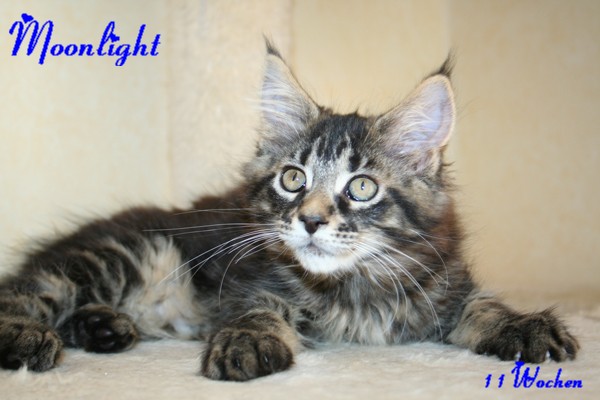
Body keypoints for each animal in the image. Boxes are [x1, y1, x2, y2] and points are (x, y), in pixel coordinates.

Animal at [0, 42, 579, 381]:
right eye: (293, 179)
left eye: (362, 187)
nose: (312, 220)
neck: (352, 289)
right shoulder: (246, 282)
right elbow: (256, 311)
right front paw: (250, 340)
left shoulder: (441, 283)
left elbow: (483, 305)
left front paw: (524, 324)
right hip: (130, 253)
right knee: (28, 291)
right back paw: (31, 337)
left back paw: (104, 328)